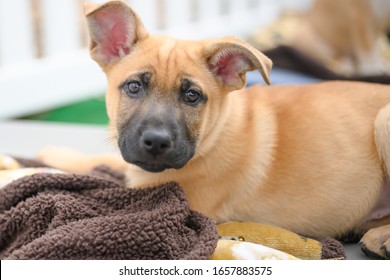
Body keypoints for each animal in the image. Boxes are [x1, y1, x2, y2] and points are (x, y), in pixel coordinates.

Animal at [37, 0, 390, 260]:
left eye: (192, 96)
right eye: (134, 87)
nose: (156, 142)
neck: (214, 134)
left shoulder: (158, 194)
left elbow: (106, 180)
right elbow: (105, 161)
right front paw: (54, 155)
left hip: (383, 120)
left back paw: (378, 237)